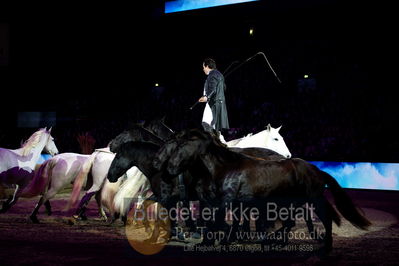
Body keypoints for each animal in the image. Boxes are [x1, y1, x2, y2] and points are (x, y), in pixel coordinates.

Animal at [153, 128, 372, 252]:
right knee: (291, 222)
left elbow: (218, 223)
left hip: (313, 200)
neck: (223, 168)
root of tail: (315, 169)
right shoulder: (216, 203)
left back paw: (323, 245)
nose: (166, 168)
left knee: (324, 218)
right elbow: (213, 223)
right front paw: (210, 241)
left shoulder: (226, 202)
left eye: (181, 145)